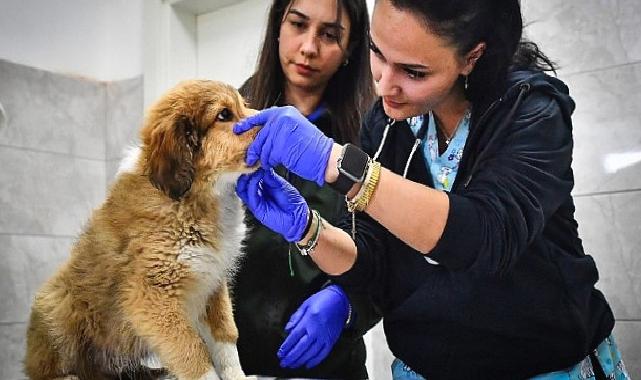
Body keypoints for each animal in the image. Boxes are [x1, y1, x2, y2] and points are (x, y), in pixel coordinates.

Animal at [23, 79, 258, 380]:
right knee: (50, 367)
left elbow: (226, 338)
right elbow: (193, 353)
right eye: (224, 115)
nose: (282, 115)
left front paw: (237, 375)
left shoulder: (213, 284)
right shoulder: (152, 295)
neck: (194, 198)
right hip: (56, 304)